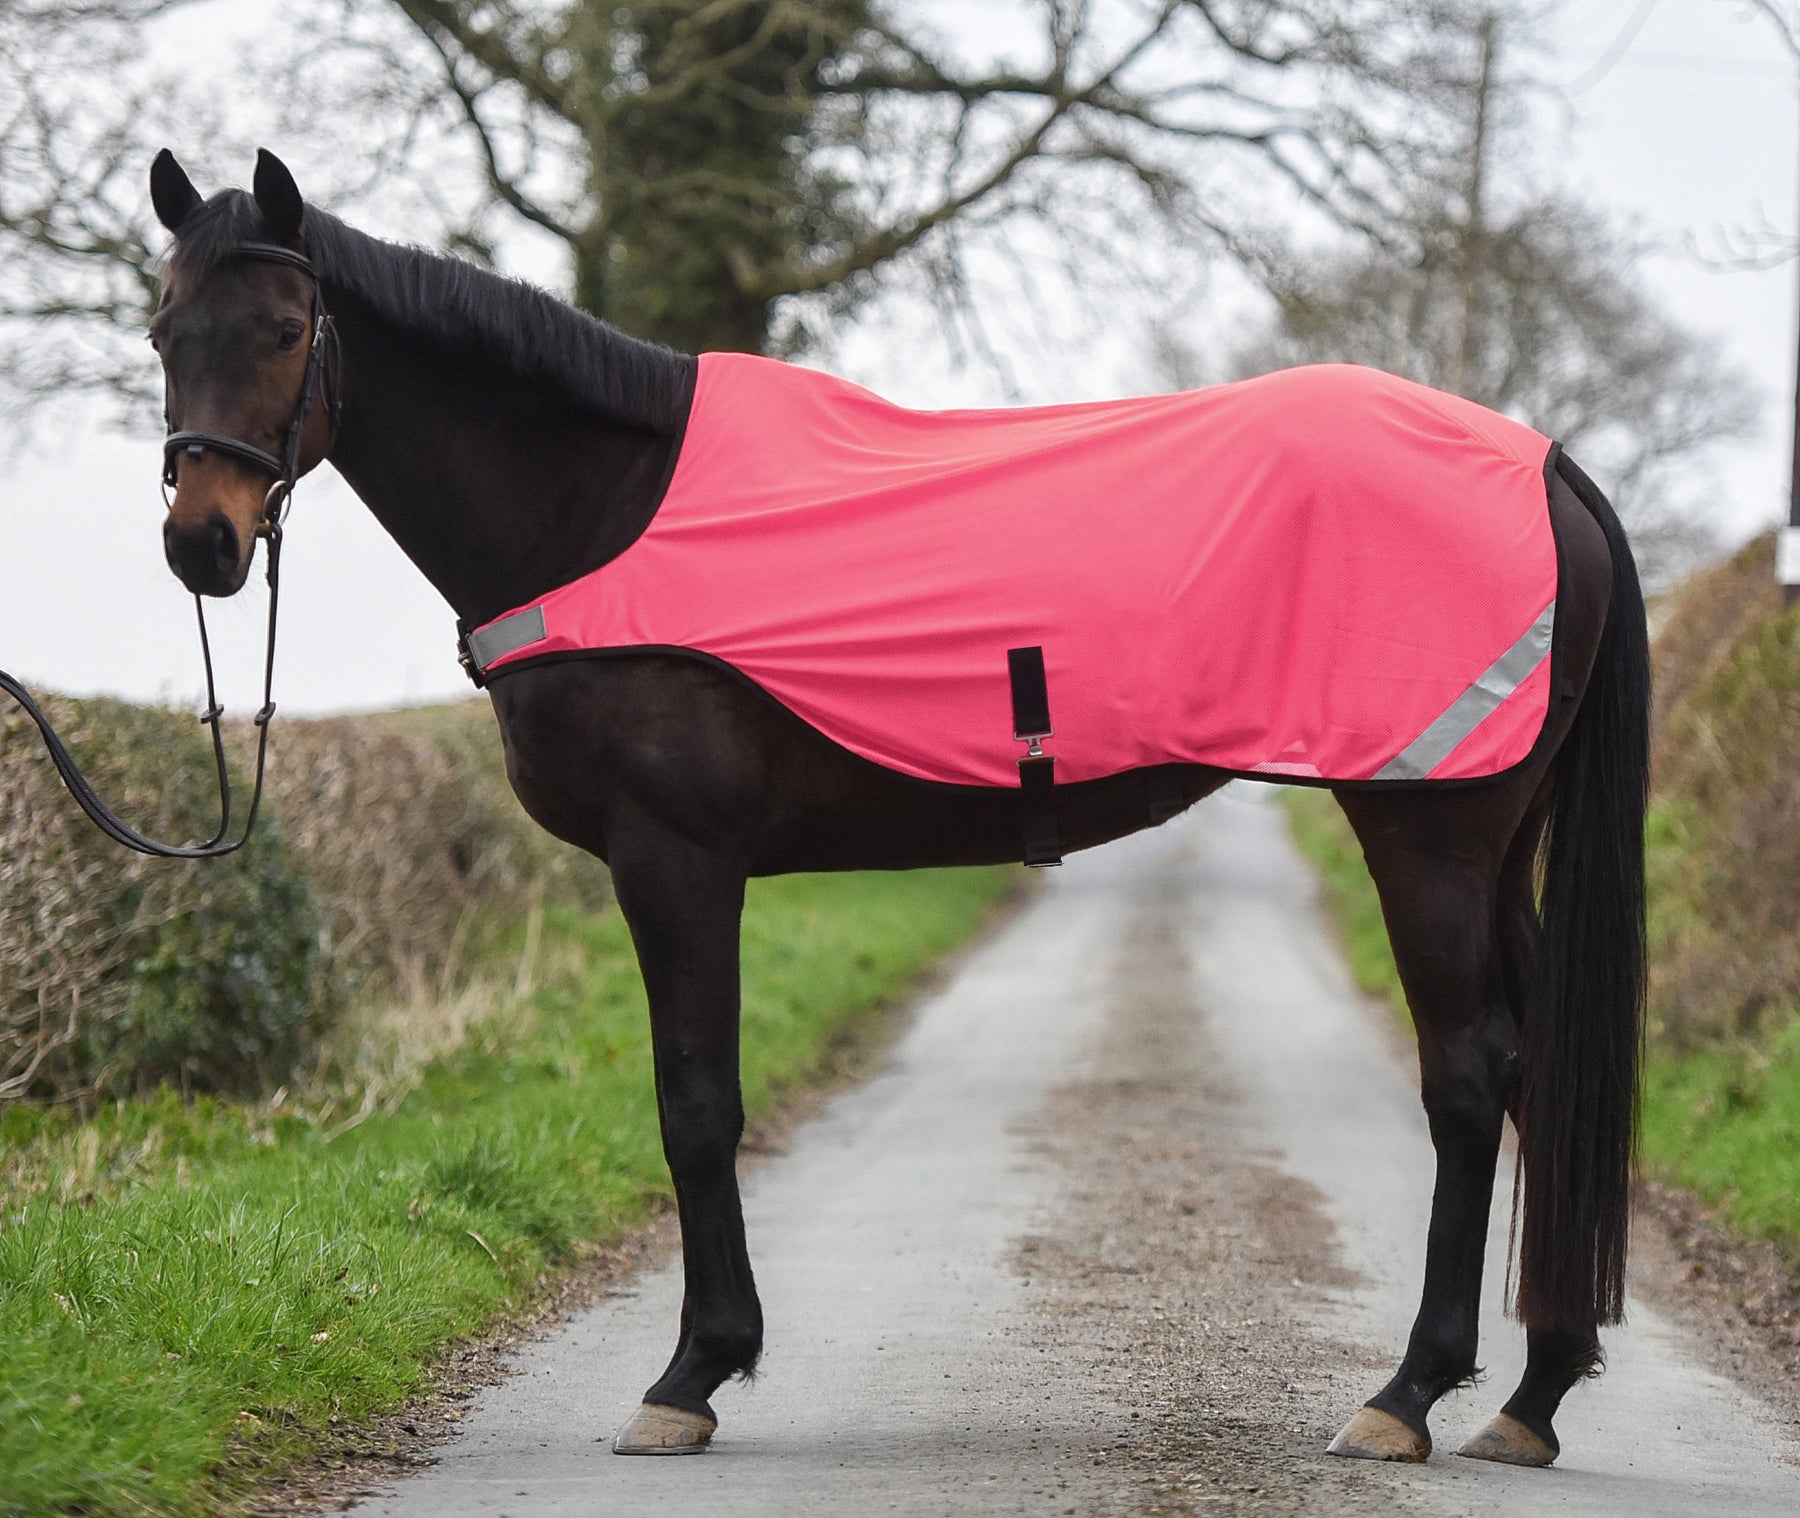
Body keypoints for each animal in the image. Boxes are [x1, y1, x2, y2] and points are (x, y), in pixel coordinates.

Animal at [143, 148, 1648, 1469]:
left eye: (285, 328)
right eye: (162, 327)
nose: (201, 543)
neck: (605, 509)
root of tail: (1546, 463)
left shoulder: (676, 860)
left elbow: (696, 1101)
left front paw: (691, 1376)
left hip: (1427, 827)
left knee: (1470, 1072)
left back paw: (1408, 1396)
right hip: (1494, 843)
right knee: (1535, 1071)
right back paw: (1534, 1397)